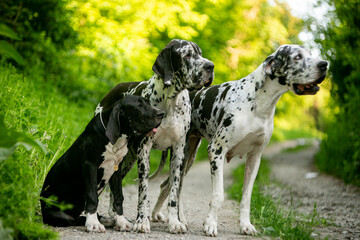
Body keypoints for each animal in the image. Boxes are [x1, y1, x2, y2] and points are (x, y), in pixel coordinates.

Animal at [95, 39, 214, 232]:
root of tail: (113, 89)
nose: (210, 66)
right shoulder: (145, 149)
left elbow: (174, 190)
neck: (170, 101)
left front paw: (175, 222)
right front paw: (142, 221)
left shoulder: (179, 151)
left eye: (200, 53)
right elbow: (143, 191)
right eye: (187, 55)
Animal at [150, 44, 328, 236]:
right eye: (297, 57)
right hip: (184, 156)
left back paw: (165, 216)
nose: (324, 64)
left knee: (168, 185)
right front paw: (210, 224)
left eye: (311, 54)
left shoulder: (255, 158)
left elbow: (246, 197)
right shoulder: (216, 151)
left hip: (187, 156)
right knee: (172, 186)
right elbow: (218, 195)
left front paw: (245, 225)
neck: (258, 104)